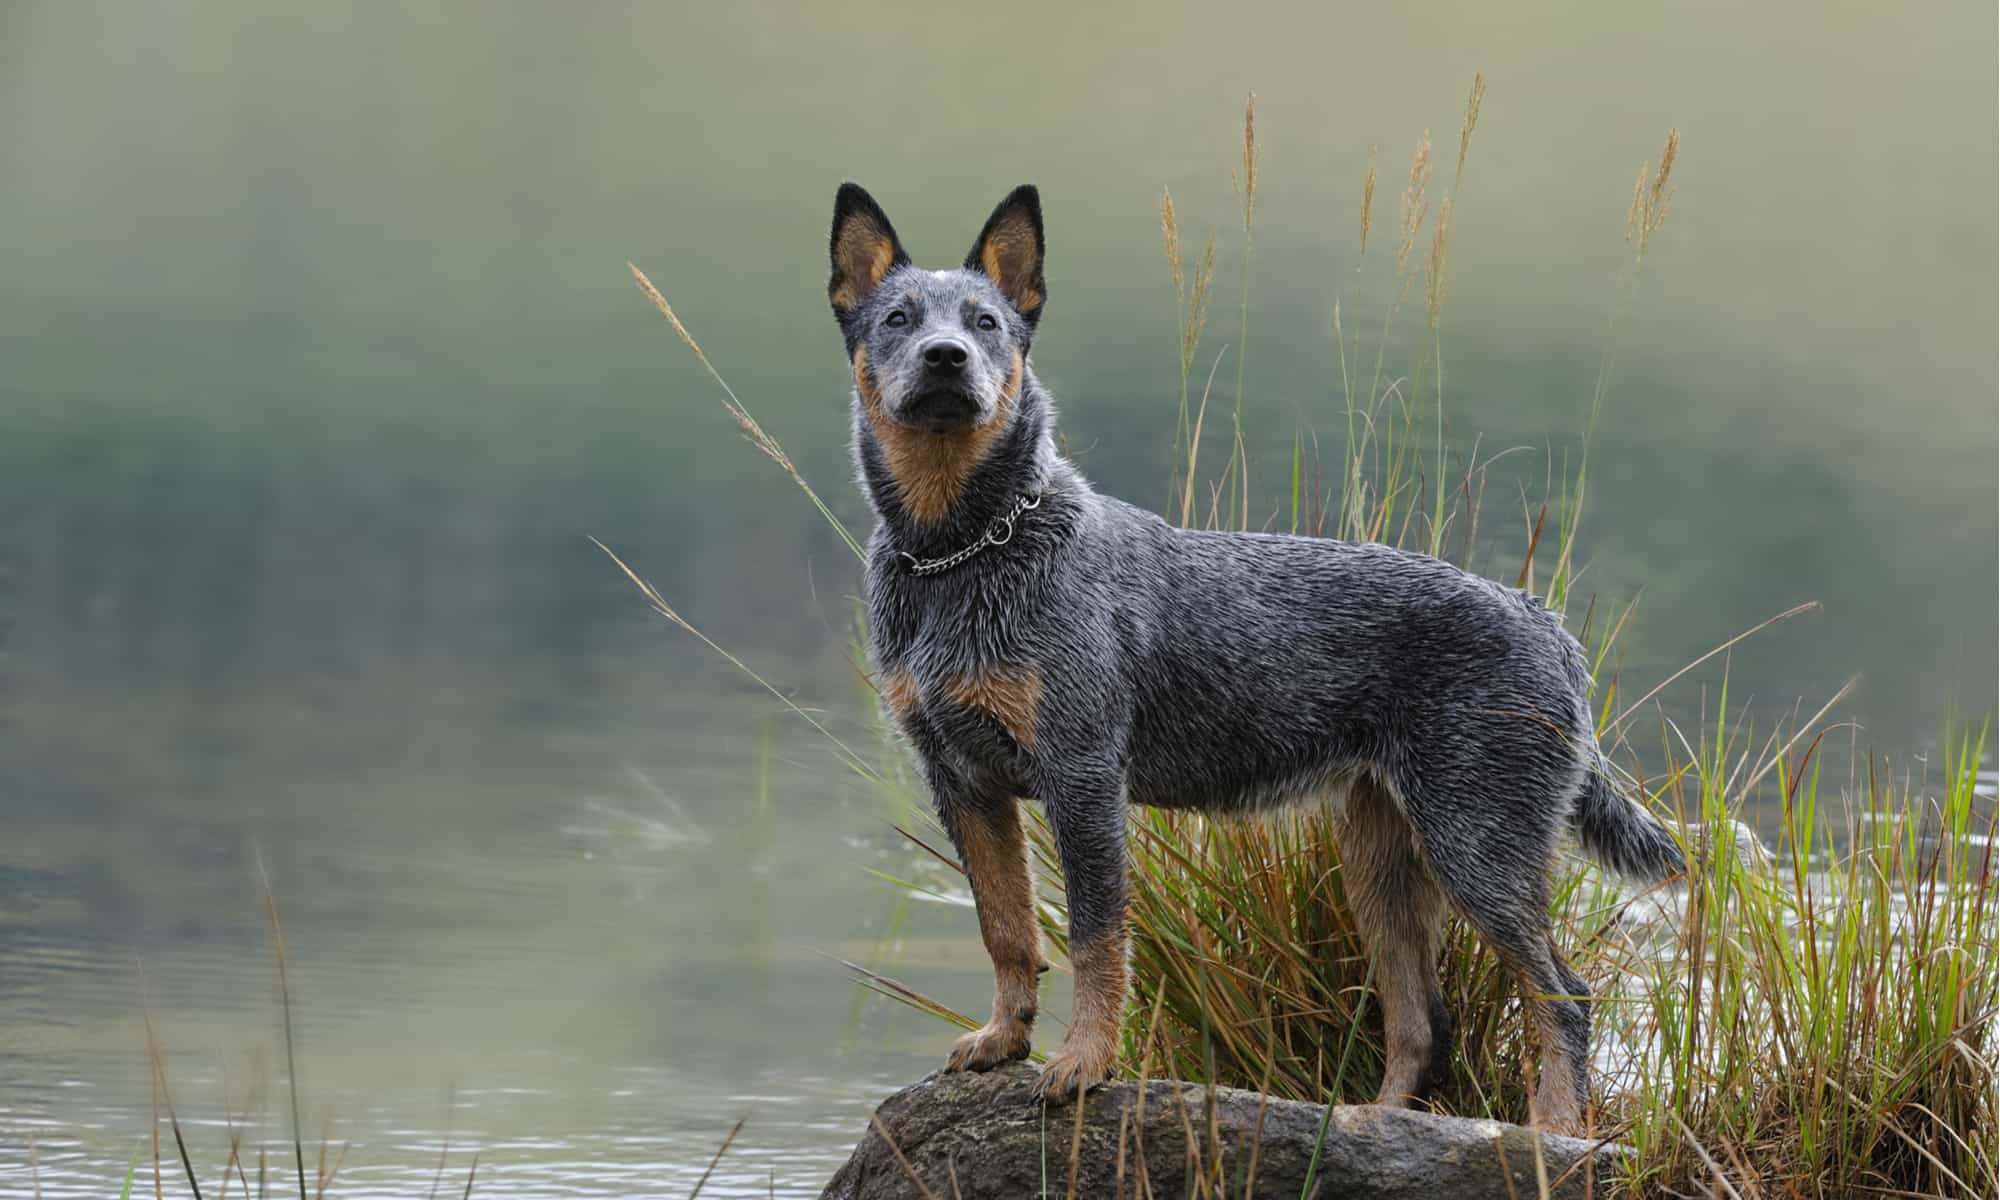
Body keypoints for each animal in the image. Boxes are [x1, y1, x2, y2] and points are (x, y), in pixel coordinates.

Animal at [828, 183, 1688, 1128]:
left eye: (985, 322)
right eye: (899, 318)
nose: (946, 358)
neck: (962, 553)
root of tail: (1548, 625)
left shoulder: (1081, 776)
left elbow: (1095, 938)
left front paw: (1084, 1062)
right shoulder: (963, 781)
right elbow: (1006, 928)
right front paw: (1003, 1040)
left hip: (1478, 844)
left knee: (1561, 995)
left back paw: (1553, 1133)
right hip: (1382, 860)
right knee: (1422, 1018)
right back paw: (1370, 1123)